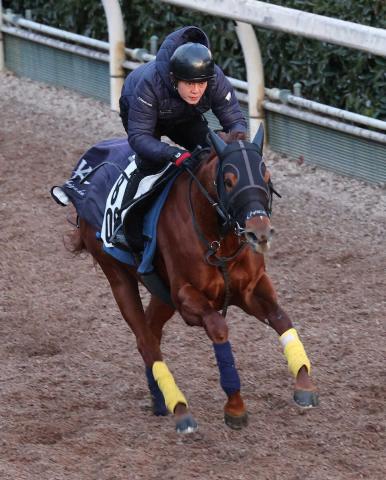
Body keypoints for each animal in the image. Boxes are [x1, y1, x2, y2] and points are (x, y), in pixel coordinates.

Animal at [67, 125, 320, 434]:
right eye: (229, 180)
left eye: (267, 176)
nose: (259, 232)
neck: (218, 239)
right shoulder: (186, 297)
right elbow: (219, 328)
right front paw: (235, 406)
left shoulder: (250, 289)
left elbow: (281, 318)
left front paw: (304, 385)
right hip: (119, 278)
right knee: (146, 341)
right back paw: (180, 408)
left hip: (161, 293)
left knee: (151, 332)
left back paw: (159, 400)